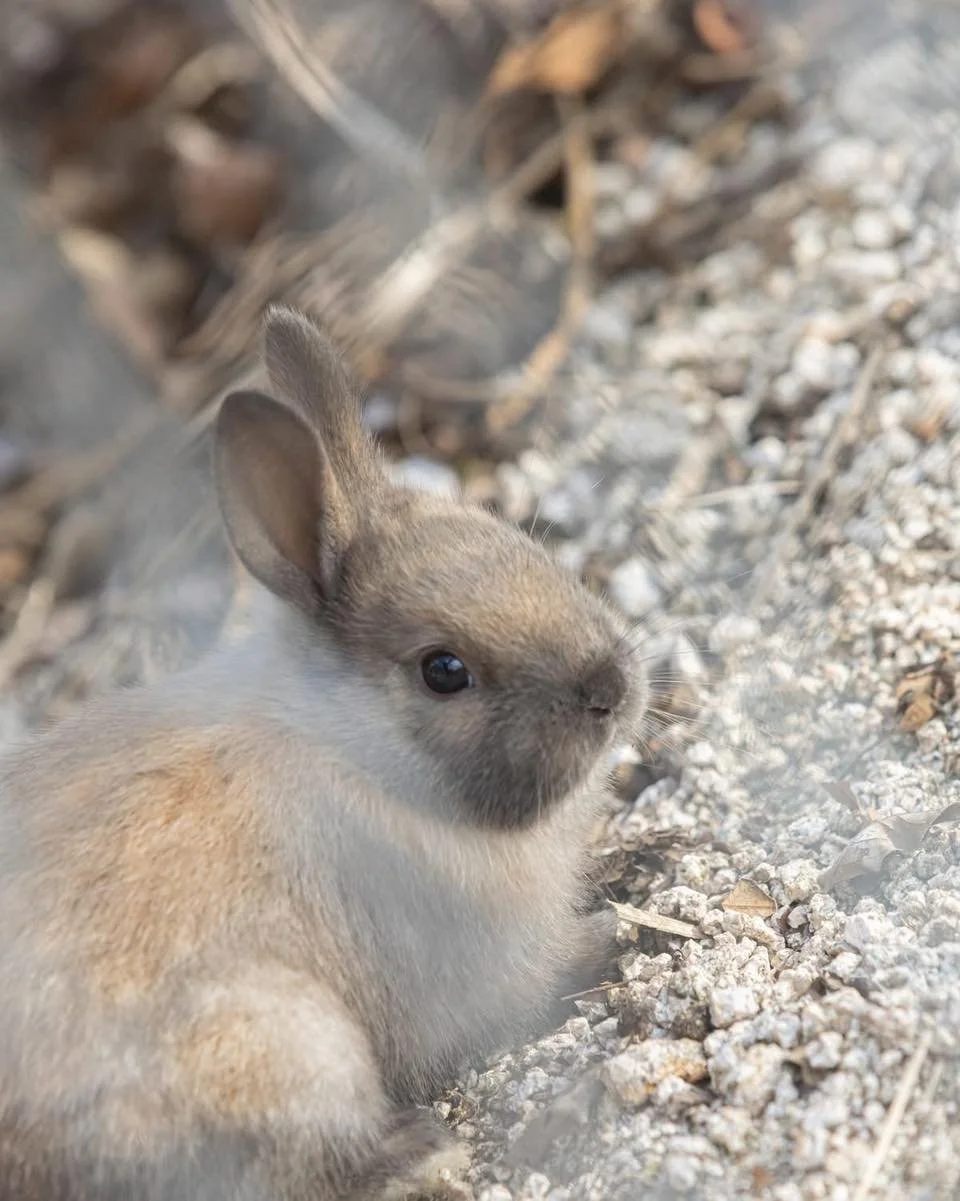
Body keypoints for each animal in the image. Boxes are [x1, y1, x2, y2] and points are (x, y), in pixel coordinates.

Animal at [0, 306, 646, 1201]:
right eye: (444, 670)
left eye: (510, 536)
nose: (610, 687)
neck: (347, 746)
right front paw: (617, 927)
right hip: (284, 1042)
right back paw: (424, 1151)